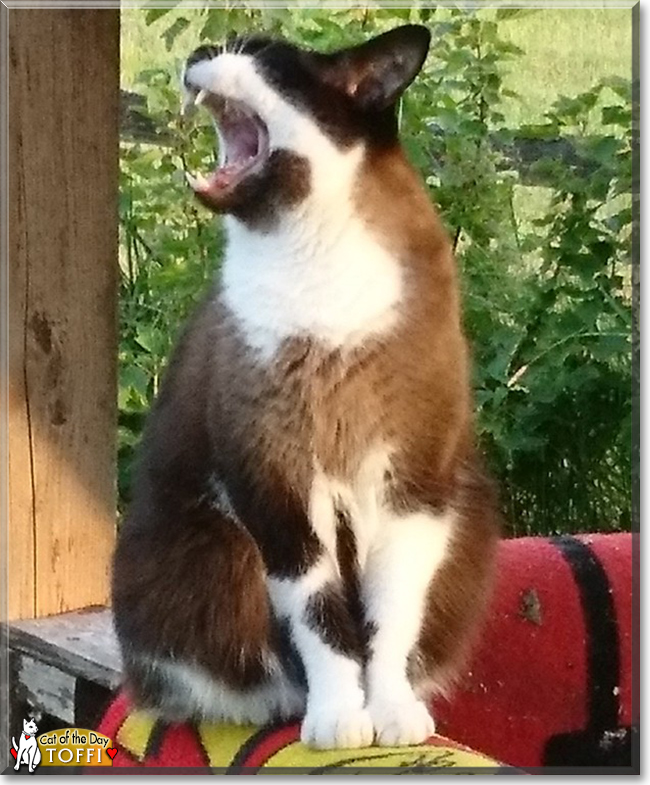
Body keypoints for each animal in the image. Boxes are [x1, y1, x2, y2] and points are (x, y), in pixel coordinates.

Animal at [111, 23, 498, 748]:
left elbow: (390, 621)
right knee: (235, 675)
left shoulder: (413, 488)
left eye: (261, 57)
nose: (200, 51)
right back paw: (282, 708)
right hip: (219, 551)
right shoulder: (277, 485)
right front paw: (340, 722)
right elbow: (321, 621)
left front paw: (393, 718)